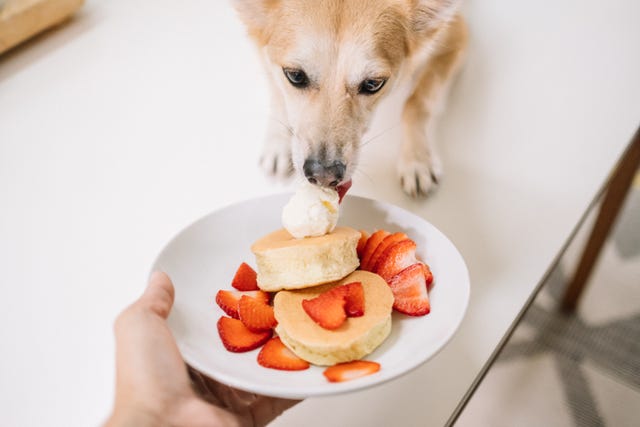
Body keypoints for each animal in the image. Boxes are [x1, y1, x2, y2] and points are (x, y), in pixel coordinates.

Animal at [232, 0, 468, 197]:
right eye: (295, 76)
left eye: (373, 84)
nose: (323, 176)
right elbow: (278, 92)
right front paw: (278, 143)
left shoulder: (455, 38)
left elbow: (418, 102)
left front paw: (417, 160)